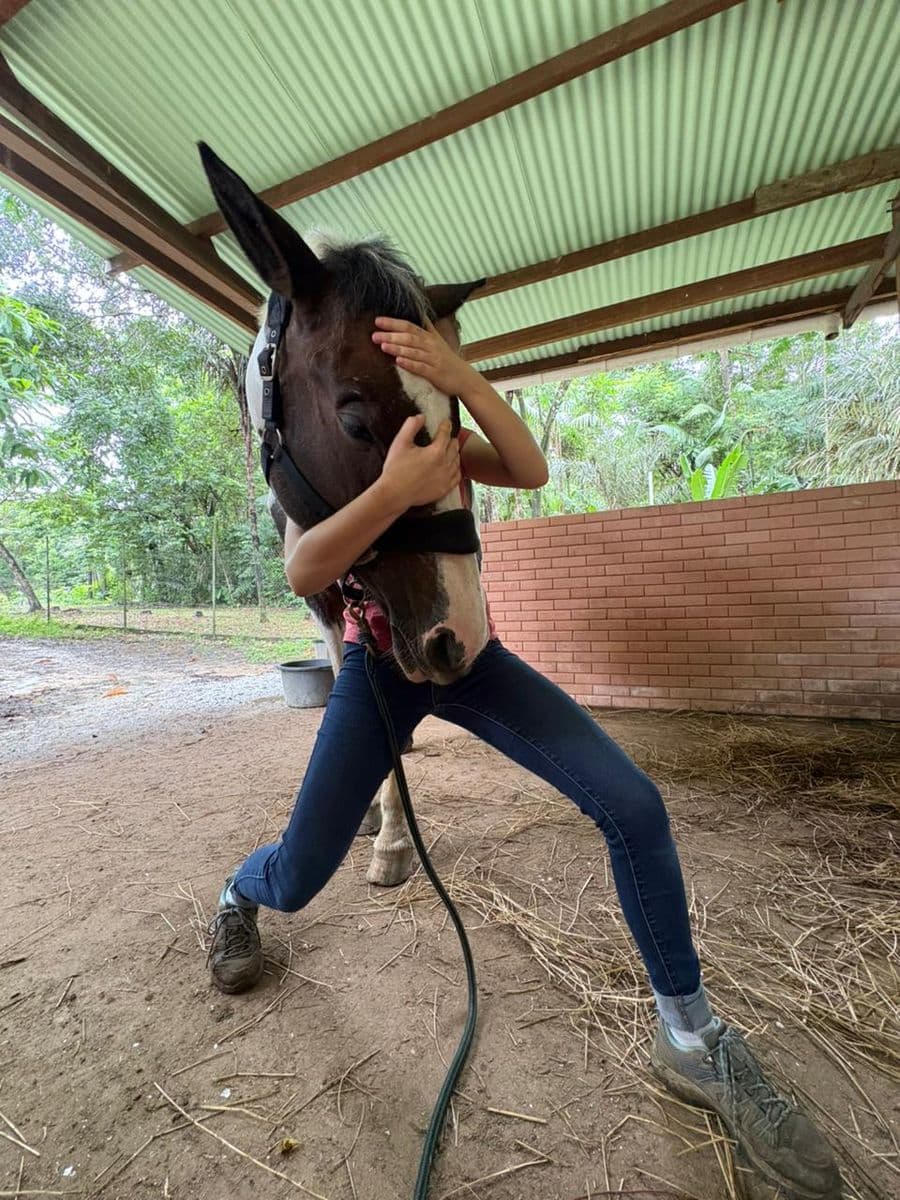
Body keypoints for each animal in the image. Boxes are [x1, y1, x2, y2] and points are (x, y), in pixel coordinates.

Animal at [199, 144, 489, 887]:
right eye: (356, 422)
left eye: (458, 422)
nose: (461, 640)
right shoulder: (324, 598)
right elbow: (344, 690)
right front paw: (372, 820)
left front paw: (392, 838)